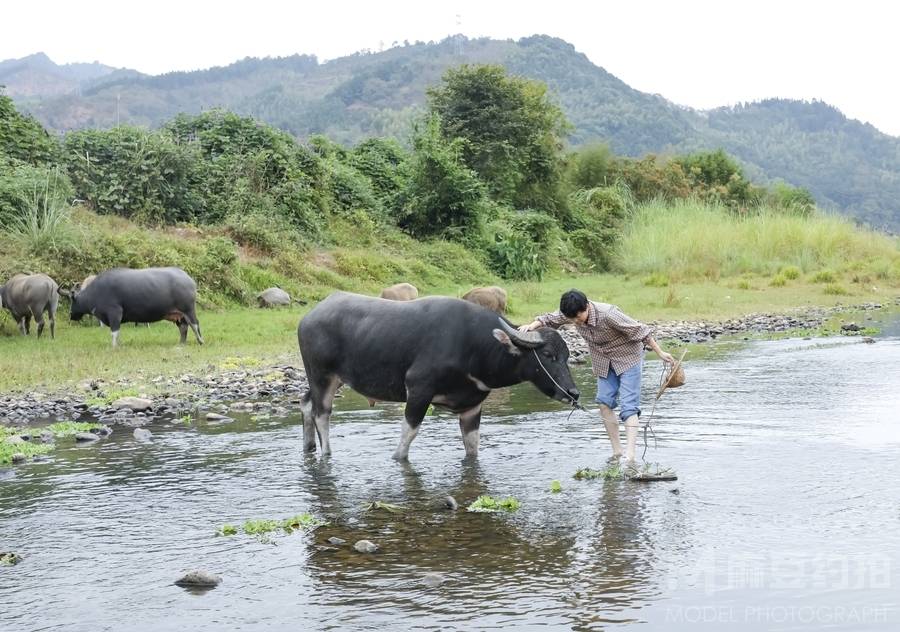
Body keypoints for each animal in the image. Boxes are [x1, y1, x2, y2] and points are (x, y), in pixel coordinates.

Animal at [65, 266, 204, 346]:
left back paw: (200, 341)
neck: (96, 291)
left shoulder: (115, 312)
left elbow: (114, 332)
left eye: (72, 300)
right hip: (178, 314)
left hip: (188, 309)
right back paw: (181, 343)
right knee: (183, 327)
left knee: (195, 324)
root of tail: (189, 279)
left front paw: (114, 346)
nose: (71, 315)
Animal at [298, 292, 580, 460]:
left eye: (566, 355)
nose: (573, 393)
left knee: (305, 403)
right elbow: (406, 440)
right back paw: (326, 454)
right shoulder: (418, 390)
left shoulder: (472, 407)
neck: (473, 347)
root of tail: (308, 318)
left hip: (323, 379)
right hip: (322, 376)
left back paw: (308, 447)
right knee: (322, 413)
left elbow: (473, 448)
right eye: (547, 355)